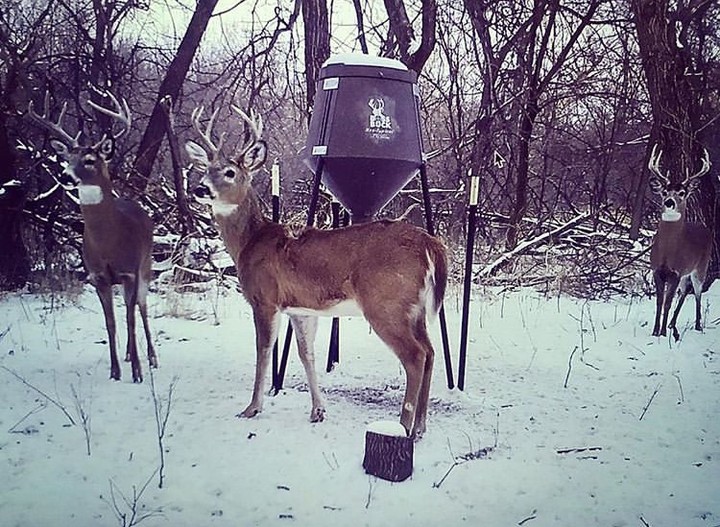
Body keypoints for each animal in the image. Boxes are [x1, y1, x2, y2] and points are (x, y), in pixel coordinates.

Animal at [28, 91, 157, 382]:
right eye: (67, 158)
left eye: (89, 160)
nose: (65, 175)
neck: (109, 242)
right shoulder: (98, 277)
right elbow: (110, 323)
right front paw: (115, 371)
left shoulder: (130, 271)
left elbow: (131, 318)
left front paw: (137, 373)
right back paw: (129, 354)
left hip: (146, 264)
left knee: (142, 307)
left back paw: (152, 358)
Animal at [185, 104, 447, 439]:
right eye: (205, 170)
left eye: (230, 172)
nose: (200, 188)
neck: (250, 242)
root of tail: (430, 243)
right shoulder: (301, 309)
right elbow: (305, 354)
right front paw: (318, 411)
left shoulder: (265, 298)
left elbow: (263, 352)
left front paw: (251, 408)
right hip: (415, 309)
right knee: (430, 351)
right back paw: (421, 426)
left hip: (386, 303)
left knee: (415, 356)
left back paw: (403, 427)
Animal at [647, 144, 712, 341]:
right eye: (664, 192)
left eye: (682, 193)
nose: (669, 202)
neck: (667, 253)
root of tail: (704, 227)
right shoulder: (657, 270)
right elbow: (659, 302)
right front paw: (655, 331)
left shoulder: (675, 272)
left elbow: (667, 303)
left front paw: (661, 333)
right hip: (687, 272)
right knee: (684, 292)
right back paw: (672, 324)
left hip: (701, 267)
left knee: (697, 293)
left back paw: (698, 325)